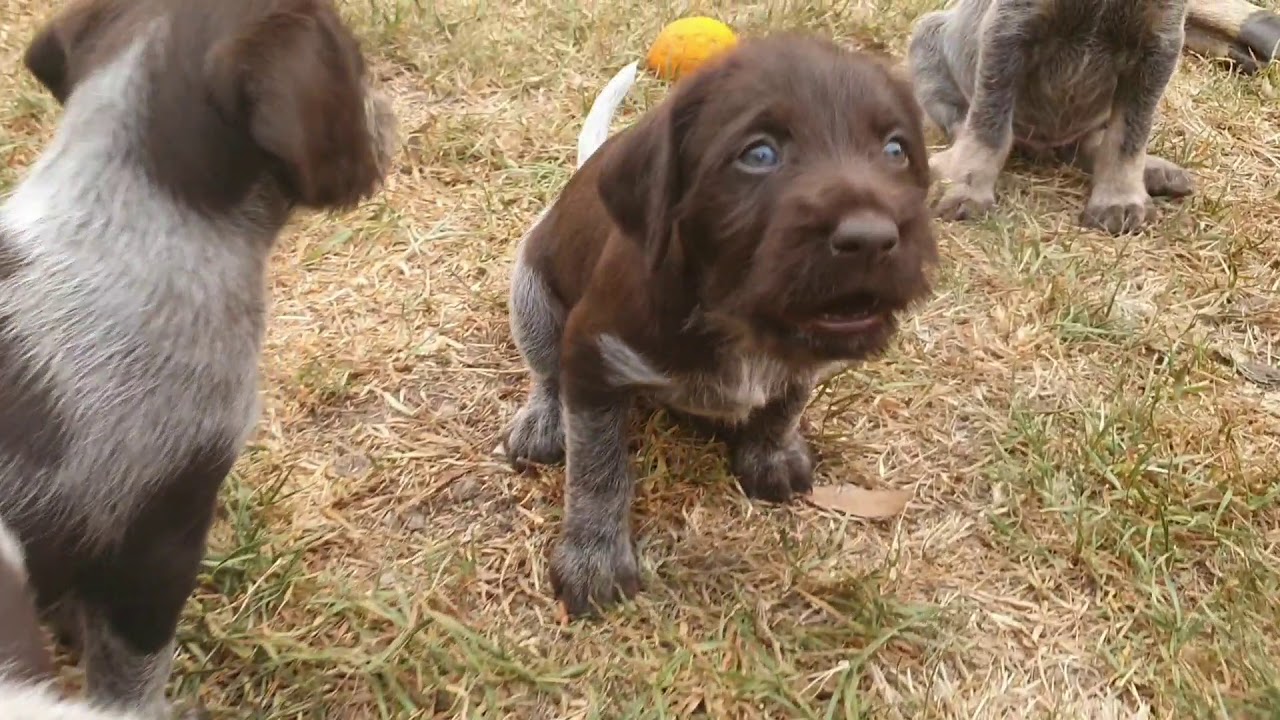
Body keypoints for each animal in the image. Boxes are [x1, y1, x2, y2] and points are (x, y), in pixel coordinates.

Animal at [501, 35, 942, 617]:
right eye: (759, 155)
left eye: (895, 150)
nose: (871, 239)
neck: (734, 319)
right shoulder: (593, 353)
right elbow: (597, 468)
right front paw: (592, 554)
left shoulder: (801, 361)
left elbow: (784, 401)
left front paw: (770, 451)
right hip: (529, 287)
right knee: (546, 370)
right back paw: (544, 418)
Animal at [911, 0, 1198, 234]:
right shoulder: (1009, 30)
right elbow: (989, 128)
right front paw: (965, 186)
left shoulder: (1158, 44)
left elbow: (1128, 139)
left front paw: (1120, 198)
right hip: (926, 41)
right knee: (963, 126)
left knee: (1090, 143)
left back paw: (1156, 171)